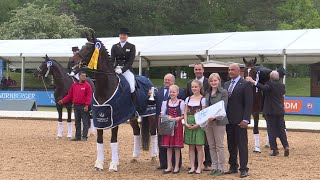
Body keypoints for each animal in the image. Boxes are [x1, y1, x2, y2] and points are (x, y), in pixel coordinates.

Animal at [71, 31, 159, 172]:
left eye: (89, 48)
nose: (72, 60)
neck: (105, 87)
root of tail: (148, 80)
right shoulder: (101, 117)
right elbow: (100, 140)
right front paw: (99, 164)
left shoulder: (115, 118)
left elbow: (113, 140)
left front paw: (113, 164)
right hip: (131, 117)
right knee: (136, 132)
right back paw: (134, 157)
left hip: (150, 114)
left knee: (153, 132)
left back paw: (153, 158)